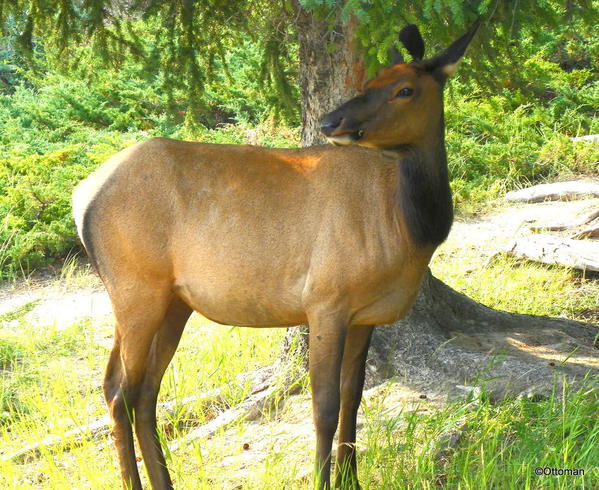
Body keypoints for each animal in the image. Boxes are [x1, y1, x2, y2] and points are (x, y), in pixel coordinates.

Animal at [72, 22, 480, 486]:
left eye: (405, 89)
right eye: (371, 81)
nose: (331, 121)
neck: (410, 227)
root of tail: (80, 196)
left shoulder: (365, 314)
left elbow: (353, 396)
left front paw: (351, 478)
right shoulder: (325, 300)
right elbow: (323, 407)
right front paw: (323, 480)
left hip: (172, 301)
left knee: (138, 390)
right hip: (136, 289)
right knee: (119, 391)